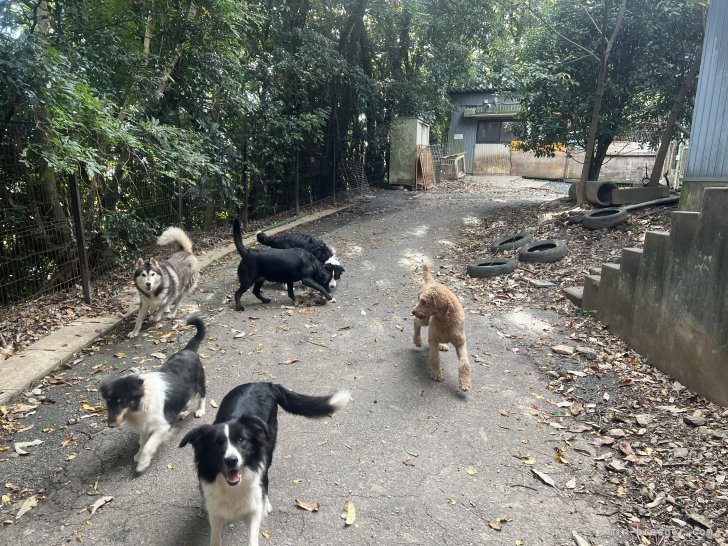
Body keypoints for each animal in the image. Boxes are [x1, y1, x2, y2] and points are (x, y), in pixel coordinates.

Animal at [99, 314, 208, 472]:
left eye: (121, 401)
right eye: (108, 403)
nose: (111, 425)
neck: (142, 401)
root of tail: (189, 350)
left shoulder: (162, 425)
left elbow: (148, 446)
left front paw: (142, 463)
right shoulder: (145, 424)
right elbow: (143, 441)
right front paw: (138, 455)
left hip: (199, 383)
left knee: (202, 396)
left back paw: (200, 410)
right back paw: (183, 411)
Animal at [179, 380, 350, 544]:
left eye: (241, 440)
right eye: (217, 443)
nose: (232, 461)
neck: (233, 488)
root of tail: (264, 384)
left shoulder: (253, 507)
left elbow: (252, 536)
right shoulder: (215, 510)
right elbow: (215, 537)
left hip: (268, 452)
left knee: (265, 478)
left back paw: (266, 504)